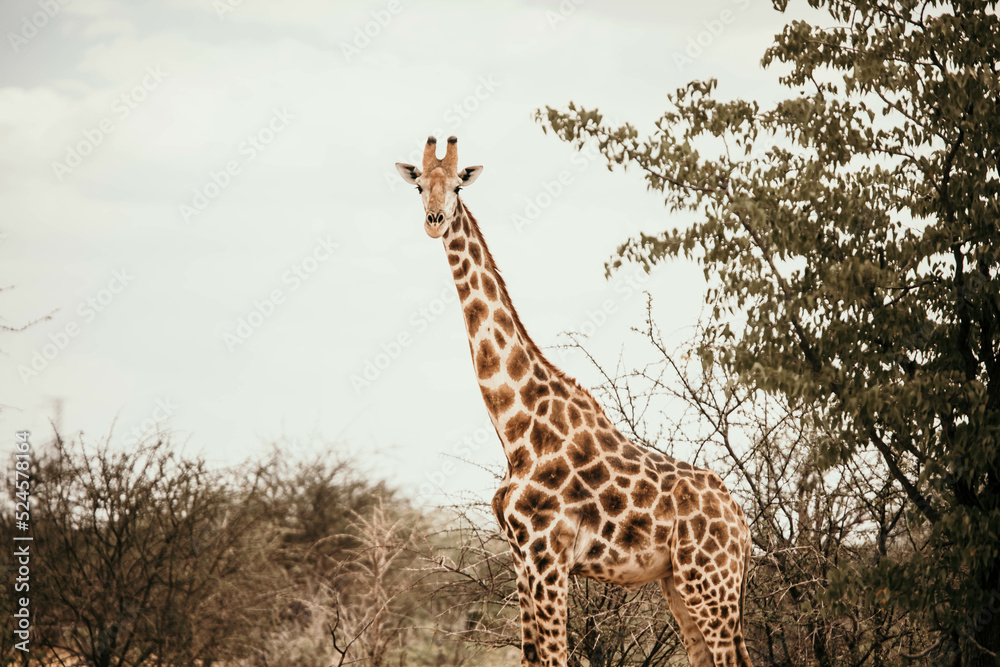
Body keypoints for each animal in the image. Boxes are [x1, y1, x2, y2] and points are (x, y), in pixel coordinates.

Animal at [395, 136, 754, 667]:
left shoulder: (548, 555)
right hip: (679, 581)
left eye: (458, 184)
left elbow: (554, 658)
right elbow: (532, 657)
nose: (435, 219)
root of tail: (743, 524)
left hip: (710, 580)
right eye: (419, 184)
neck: (516, 430)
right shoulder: (523, 559)